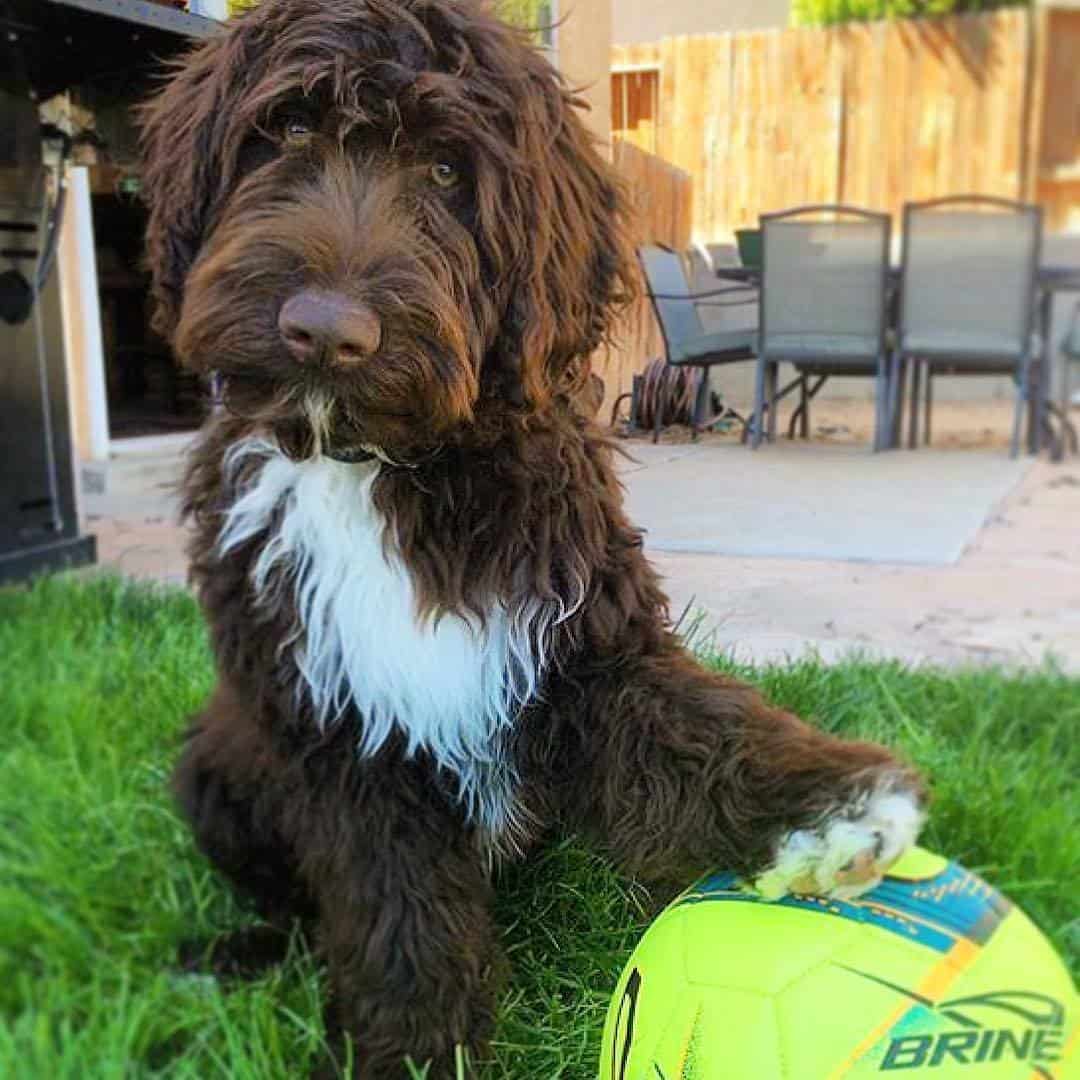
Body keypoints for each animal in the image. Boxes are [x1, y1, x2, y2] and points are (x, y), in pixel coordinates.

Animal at [139, 2, 924, 1071]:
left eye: (445, 171)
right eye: (287, 130)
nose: (325, 331)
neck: (379, 469)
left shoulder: (584, 642)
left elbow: (692, 726)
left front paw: (831, 807)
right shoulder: (330, 728)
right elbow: (394, 911)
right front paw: (417, 1051)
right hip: (218, 759)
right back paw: (235, 954)